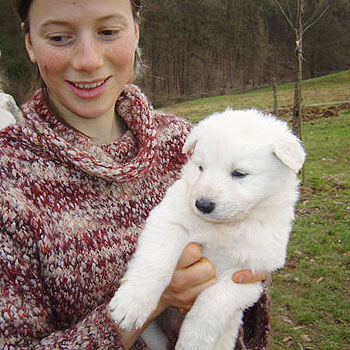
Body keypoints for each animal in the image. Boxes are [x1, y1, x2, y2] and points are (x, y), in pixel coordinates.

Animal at [109, 108, 306, 350]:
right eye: (200, 167)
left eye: (239, 173)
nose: (202, 205)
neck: (226, 226)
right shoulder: (170, 220)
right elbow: (155, 261)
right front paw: (132, 302)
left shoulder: (248, 274)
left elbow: (211, 306)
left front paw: (192, 342)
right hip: (151, 333)